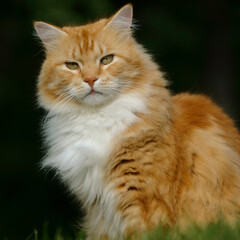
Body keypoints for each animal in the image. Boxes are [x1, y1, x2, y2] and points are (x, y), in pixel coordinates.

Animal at [33, 3, 240, 240]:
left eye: (106, 59)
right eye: (72, 65)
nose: (90, 79)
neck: (98, 116)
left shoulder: (143, 196)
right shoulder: (97, 209)